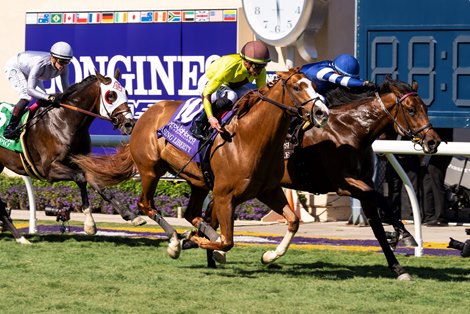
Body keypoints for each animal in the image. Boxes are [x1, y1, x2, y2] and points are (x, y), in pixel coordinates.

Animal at [0, 71, 140, 243]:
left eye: (126, 92)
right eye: (111, 95)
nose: (129, 124)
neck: (65, 120)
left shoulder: (80, 161)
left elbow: (97, 184)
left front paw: (131, 216)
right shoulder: (48, 169)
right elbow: (81, 178)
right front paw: (89, 223)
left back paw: (19, 237)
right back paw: (20, 237)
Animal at [74, 68, 330, 262]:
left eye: (313, 85)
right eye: (297, 88)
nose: (322, 112)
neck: (250, 138)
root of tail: (143, 116)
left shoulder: (268, 190)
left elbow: (293, 221)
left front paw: (269, 255)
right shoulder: (225, 195)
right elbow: (228, 241)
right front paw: (194, 241)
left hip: (197, 181)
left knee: (191, 213)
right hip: (150, 170)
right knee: (146, 205)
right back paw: (175, 241)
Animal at [282, 76, 440, 280]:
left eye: (426, 108)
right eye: (411, 109)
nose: (433, 141)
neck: (350, 130)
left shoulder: (364, 184)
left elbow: (378, 229)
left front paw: (398, 268)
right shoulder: (345, 184)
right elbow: (382, 199)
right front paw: (404, 235)